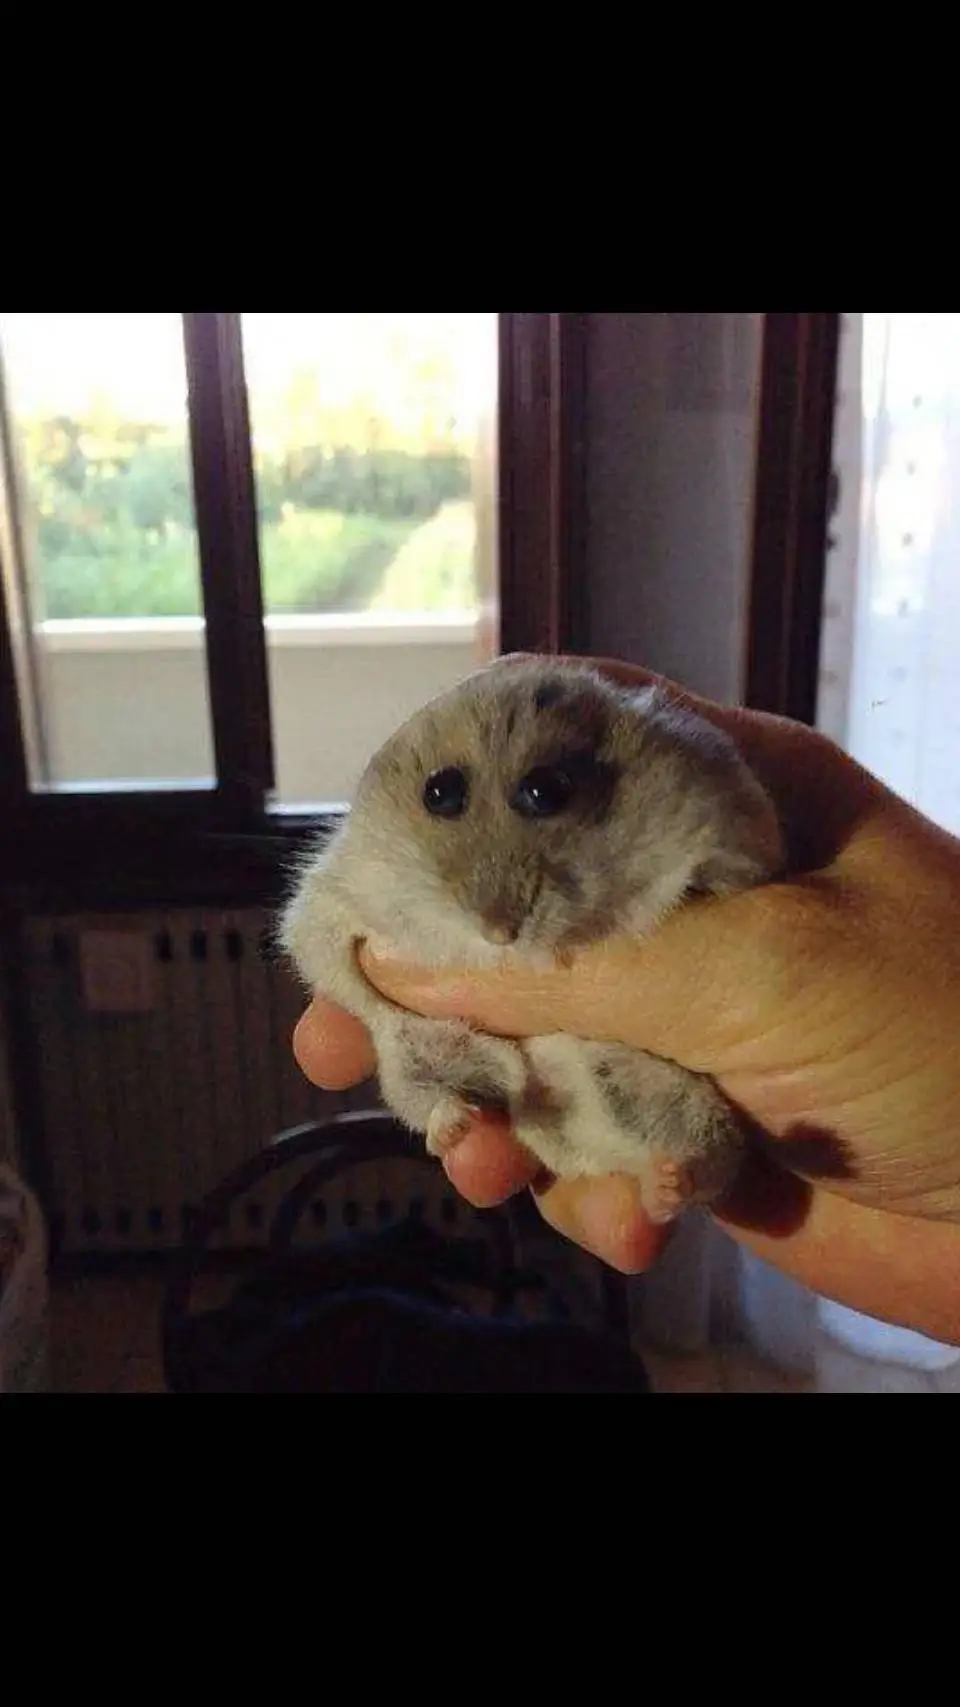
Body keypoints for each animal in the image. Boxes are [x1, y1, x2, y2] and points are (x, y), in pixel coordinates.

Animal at [281, 657, 785, 1225]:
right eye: (438, 792)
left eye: (546, 791)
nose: (500, 934)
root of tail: (588, 1149)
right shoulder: (331, 898)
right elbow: (334, 965)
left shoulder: (726, 810)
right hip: (415, 1063)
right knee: (435, 1096)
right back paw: (461, 1121)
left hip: (677, 1095)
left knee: (709, 1161)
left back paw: (667, 1185)